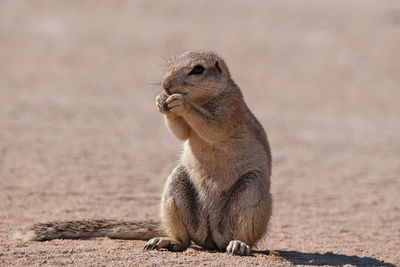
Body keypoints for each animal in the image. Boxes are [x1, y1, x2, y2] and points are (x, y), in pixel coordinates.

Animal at [14, 50, 272, 258]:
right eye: (169, 65)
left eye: (197, 69)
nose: (166, 85)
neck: (204, 99)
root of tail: (210, 238)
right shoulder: (187, 126)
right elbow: (181, 132)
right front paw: (160, 101)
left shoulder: (231, 109)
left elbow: (214, 127)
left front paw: (181, 103)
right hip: (177, 187)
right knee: (184, 241)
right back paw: (166, 241)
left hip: (251, 190)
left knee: (239, 234)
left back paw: (238, 244)